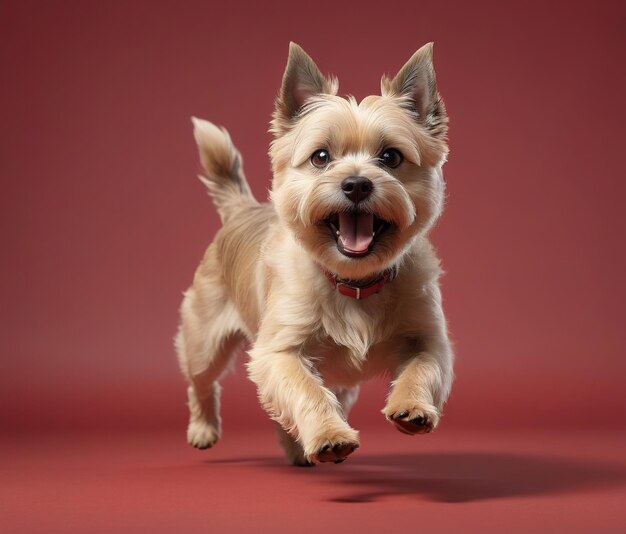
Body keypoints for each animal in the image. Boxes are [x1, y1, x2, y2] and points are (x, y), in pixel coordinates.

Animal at [176, 42, 454, 466]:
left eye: (391, 157)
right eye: (321, 157)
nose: (356, 184)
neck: (355, 282)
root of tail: (241, 209)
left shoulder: (429, 339)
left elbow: (423, 368)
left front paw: (413, 406)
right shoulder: (278, 352)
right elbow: (304, 390)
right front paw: (329, 435)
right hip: (204, 343)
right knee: (202, 383)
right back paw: (204, 428)